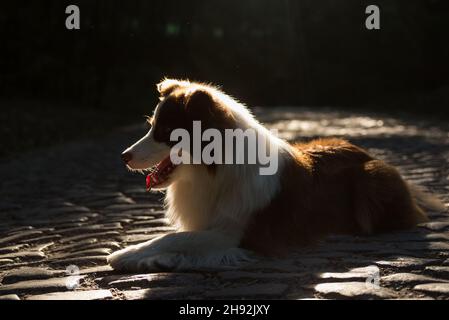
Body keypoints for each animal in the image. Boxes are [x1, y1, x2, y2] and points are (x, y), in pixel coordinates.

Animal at [107, 79, 442, 272]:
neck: (212, 170)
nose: (123, 156)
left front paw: (125, 254)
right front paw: (151, 257)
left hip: (372, 184)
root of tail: (367, 153)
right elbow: (176, 238)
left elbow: (174, 237)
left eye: (165, 132)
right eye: (151, 126)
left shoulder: (236, 233)